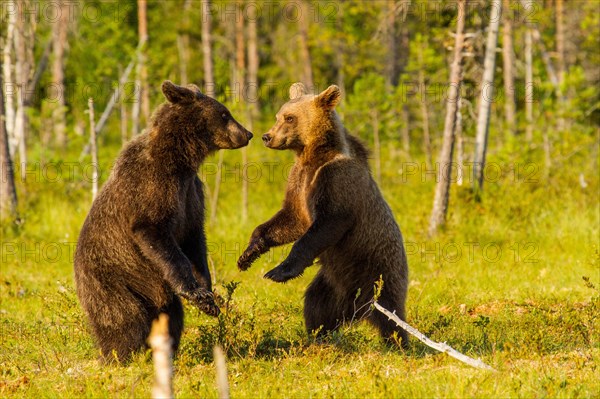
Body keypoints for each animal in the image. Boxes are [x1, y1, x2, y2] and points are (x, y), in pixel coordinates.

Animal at [75, 82, 253, 362]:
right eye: (225, 114)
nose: (247, 133)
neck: (180, 160)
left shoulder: (191, 194)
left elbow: (194, 240)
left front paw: (208, 293)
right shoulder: (153, 185)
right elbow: (155, 232)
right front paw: (197, 294)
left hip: (153, 290)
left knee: (171, 315)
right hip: (111, 279)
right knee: (124, 318)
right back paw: (120, 355)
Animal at [237, 83, 410, 348]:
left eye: (289, 117)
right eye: (278, 115)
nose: (267, 136)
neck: (313, 155)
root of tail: (356, 309)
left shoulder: (335, 179)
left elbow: (327, 223)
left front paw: (278, 271)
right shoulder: (299, 180)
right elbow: (291, 219)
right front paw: (248, 254)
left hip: (378, 269)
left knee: (390, 312)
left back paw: (399, 343)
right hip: (332, 283)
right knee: (317, 305)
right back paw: (320, 337)